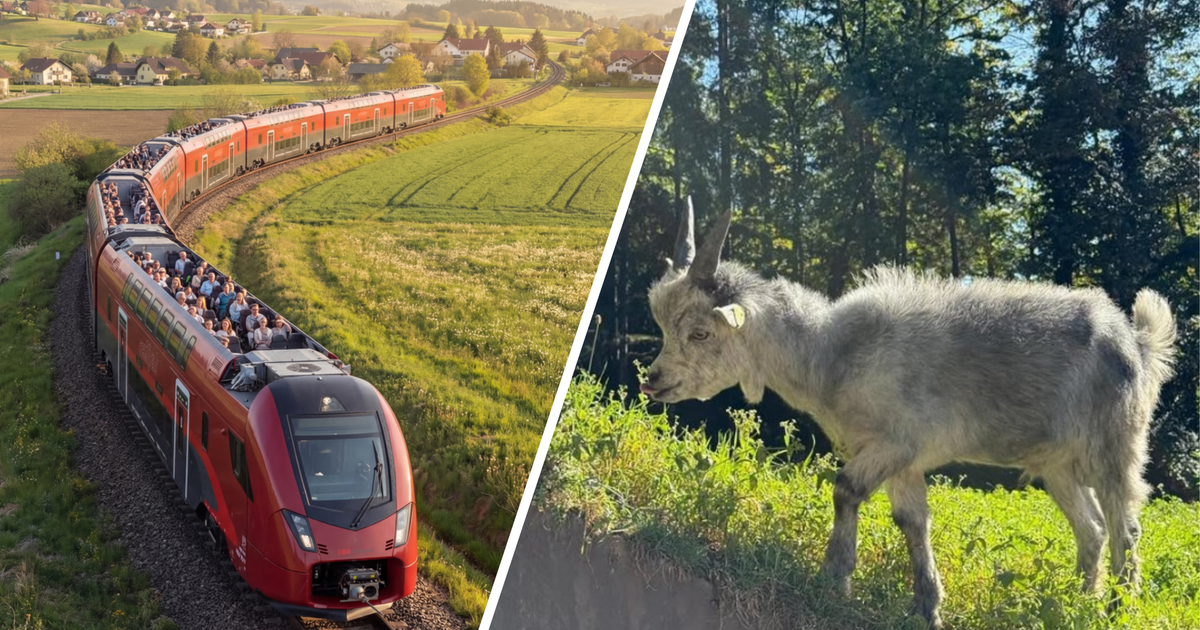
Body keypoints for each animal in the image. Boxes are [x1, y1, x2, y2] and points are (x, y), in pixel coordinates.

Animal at [639, 199, 1177, 628]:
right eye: (664, 327)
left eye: (701, 333)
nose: (653, 380)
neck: (831, 354)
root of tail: (1138, 342)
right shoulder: (903, 460)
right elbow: (912, 521)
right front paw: (926, 606)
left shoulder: (894, 442)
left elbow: (845, 490)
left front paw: (834, 579)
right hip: (1058, 465)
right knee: (1093, 530)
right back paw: (1082, 600)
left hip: (1116, 445)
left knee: (1126, 527)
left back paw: (1117, 609)